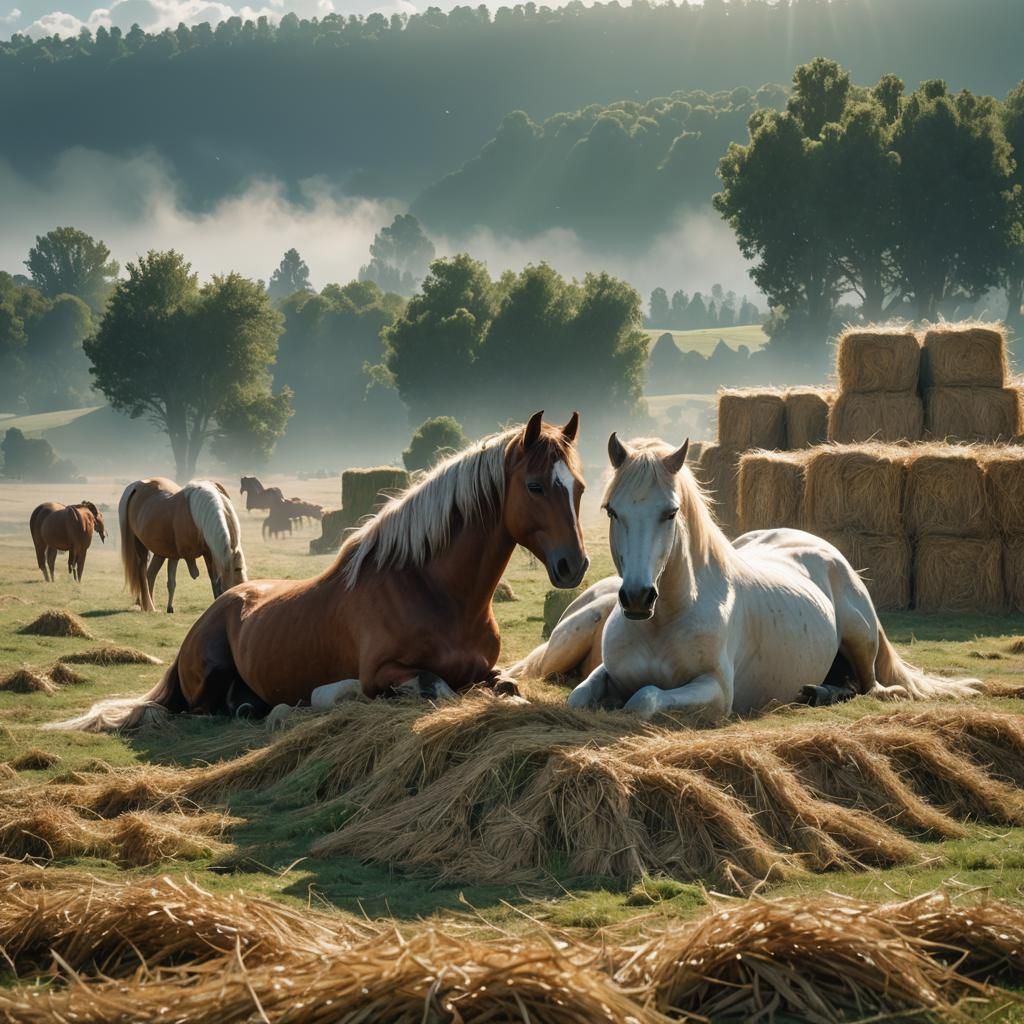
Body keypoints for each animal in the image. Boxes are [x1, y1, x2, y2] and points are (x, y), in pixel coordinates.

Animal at [118, 478, 247, 614]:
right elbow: (213, 581)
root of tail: (136, 485)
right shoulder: (197, 554)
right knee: (142, 571)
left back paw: (149, 605)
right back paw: (149, 606)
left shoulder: (208, 554)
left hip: (160, 552)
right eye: (237, 570)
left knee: (151, 574)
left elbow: (213, 580)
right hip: (139, 543)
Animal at [516, 433, 980, 721]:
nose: (636, 598)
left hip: (860, 636)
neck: (664, 621)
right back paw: (815, 692)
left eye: (670, 512)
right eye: (612, 511)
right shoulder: (605, 674)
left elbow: (644, 699)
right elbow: (579, 697)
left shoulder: (716, 692)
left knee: (875, 688)